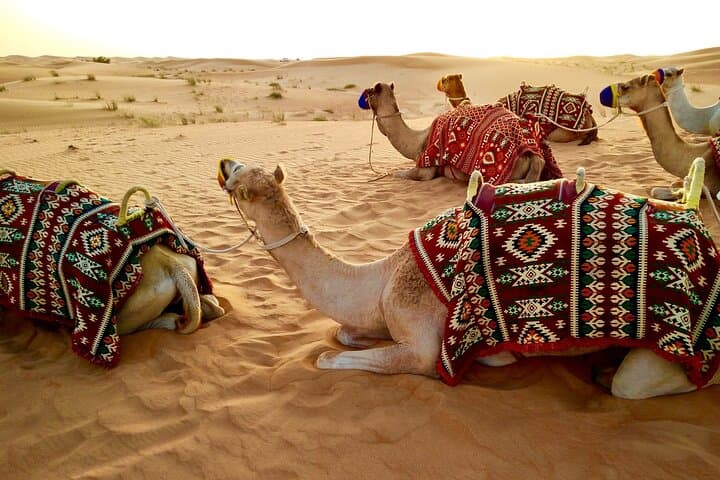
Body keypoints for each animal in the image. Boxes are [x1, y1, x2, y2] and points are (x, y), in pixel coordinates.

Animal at [217, 158, 720, 399]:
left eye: (239, 181)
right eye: (240, 168)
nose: (223, 162)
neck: (383, 277)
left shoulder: (423, 345)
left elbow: (330, 357)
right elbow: (344, 334)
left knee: (647, 383)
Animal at [359, 82, 561, 184]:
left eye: (369, 92)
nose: (362, 98)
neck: (417, 141)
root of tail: (533, 153)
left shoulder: (426, 167)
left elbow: (401, 174)